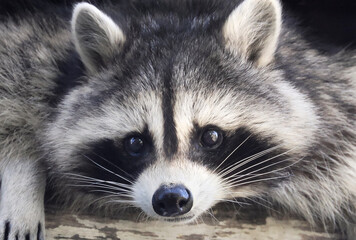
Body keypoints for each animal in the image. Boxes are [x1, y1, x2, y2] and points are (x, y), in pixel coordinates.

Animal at [0, 0, 354, 239]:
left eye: (211, 136)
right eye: (135, 142)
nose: (171, 198)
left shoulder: (331, 93)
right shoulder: (47, 49)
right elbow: (15, 71)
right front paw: (22, 175)